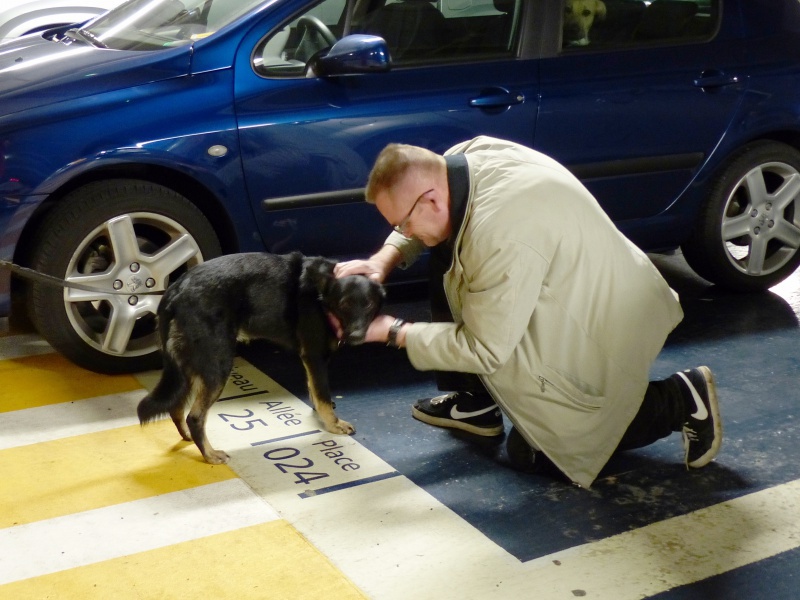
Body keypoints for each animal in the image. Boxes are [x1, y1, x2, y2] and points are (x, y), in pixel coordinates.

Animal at [138, 252, 384, 464]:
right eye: (344, 305)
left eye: (369, 304)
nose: (356, 337)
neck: (322, 296)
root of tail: (175, 290)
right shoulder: (314, 356)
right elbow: (322, 394)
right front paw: (333, 424)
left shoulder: (311, 360)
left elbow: (314, 390)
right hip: (217, 365)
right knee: (195, 416)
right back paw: (209, 454)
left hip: (187, 366)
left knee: (176, 406)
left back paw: (188, 437)